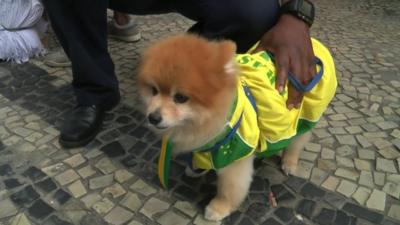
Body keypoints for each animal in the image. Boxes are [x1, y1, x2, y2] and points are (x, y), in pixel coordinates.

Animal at [138, 33, 338, 221]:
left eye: (180, 98)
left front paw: (219, 208)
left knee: (297, 141)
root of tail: (315, 44)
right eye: (154, 91)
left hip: (305, 115)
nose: (153, 117)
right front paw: (196, 168)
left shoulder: (236, 153)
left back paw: (289, 162)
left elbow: (230, 189)